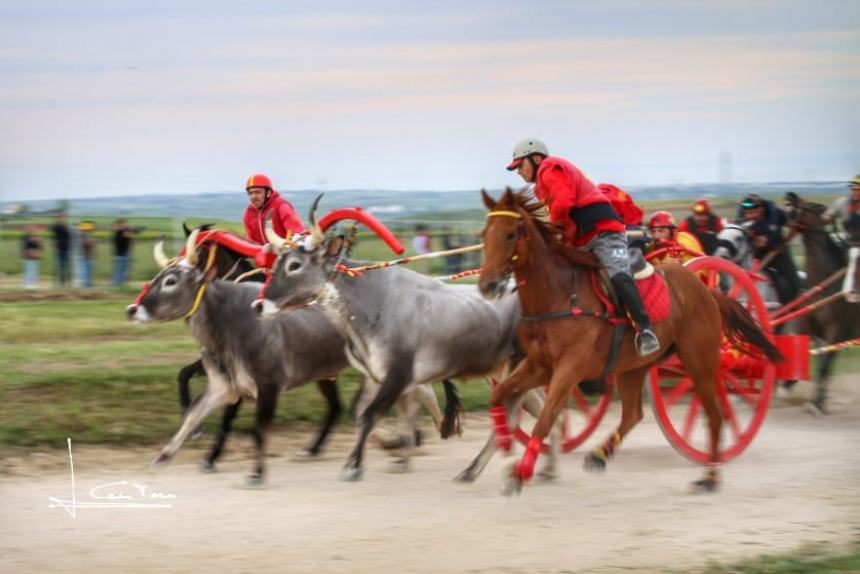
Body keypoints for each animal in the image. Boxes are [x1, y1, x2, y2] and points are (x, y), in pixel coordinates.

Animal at [480, 189, 784, 496]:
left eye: (510, 234)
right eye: (484, 234)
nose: (487, 285)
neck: (561, 295)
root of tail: (707, 292)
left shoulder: (569, 370)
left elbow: (545, 419)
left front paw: (520, 472)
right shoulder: (539, 366)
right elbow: (500, 394)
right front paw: (504, 446)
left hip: (700, 364)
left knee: (715, 415)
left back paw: (709, 476)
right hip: (633, 367)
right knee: (633, 414)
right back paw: (599, 454)